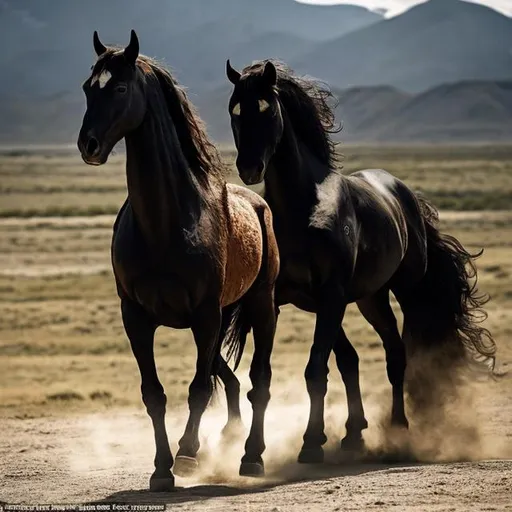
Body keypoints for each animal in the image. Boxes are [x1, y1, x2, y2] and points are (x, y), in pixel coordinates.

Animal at [76, 32, 280, 488]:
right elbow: (154, 394)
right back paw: (227, 439)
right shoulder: (136, 317)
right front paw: (160, 469)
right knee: (230, 379)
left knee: (258, 380)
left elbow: (199, 389)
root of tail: (257, 201)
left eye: (120, 88)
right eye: (86, 88)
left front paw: (186, 454)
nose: (88, 145)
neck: (166, 224)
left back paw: (251, 456)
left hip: (261, 304)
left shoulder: (204, 315)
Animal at [225, 59, 496, 464]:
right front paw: (253, 454)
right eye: (235, 111)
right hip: (370, 298)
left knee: (398, 354)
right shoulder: (282, 300)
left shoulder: (331, 295)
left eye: (266, 109)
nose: (249, 168)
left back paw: (399, 430)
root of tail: (405, 194)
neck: (302, 209)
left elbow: (315, 370)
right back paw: (354, 434)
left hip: (404, 292)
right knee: (355, 359)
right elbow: (265, 374)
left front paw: (310, 444)